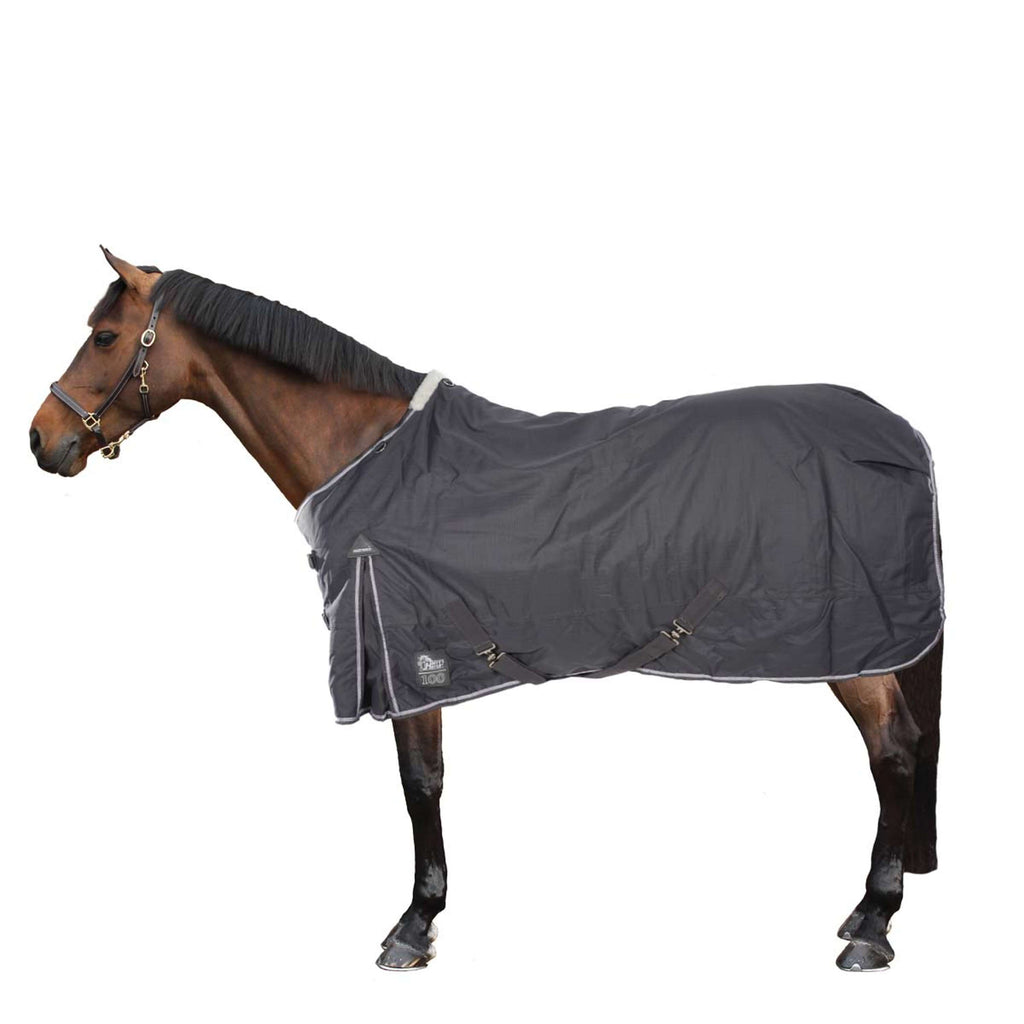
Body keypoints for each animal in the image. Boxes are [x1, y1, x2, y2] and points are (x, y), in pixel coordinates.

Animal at [30, 248, 943, 973]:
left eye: (105, 336)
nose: (42, 440)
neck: (371, 456)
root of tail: (899, 433)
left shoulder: (406, 655)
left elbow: (420, 783)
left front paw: (413, 925)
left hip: (851, 645)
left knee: (894, 750)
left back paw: (872, 926)